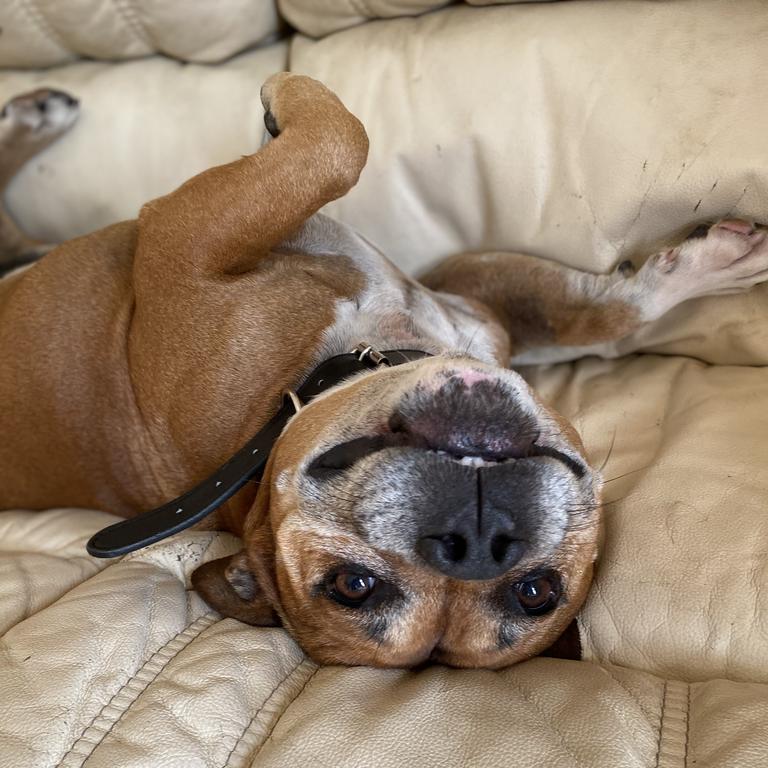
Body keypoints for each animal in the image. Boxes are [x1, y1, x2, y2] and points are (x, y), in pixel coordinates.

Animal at [1, 75, 768, 668]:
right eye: (352, 586)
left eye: (535, 592)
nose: (474, 543)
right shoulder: (182, 238)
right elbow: (338, 143)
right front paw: (279, 101)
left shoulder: (478, 300)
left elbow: (604, 316)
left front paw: (705, 269)